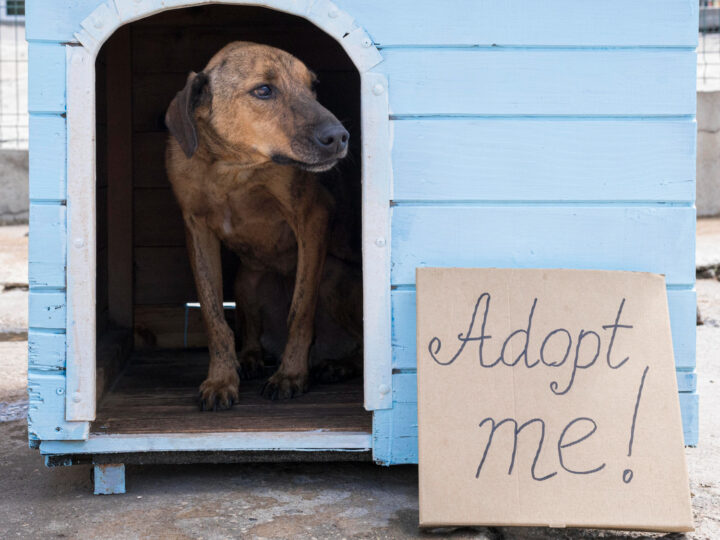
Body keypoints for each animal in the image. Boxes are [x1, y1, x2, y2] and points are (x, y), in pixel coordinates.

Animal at [166, 42, 362, 412]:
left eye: (313, 87)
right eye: (264, 90)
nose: (341, 137)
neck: (233, 168)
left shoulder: (312, 218)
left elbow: (300, 312)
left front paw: (291, 375)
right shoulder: (196, 232)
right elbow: (214, 318)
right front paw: (222, 379)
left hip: (335, 278)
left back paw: (338, 365)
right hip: (246, 281)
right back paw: (251, 358)